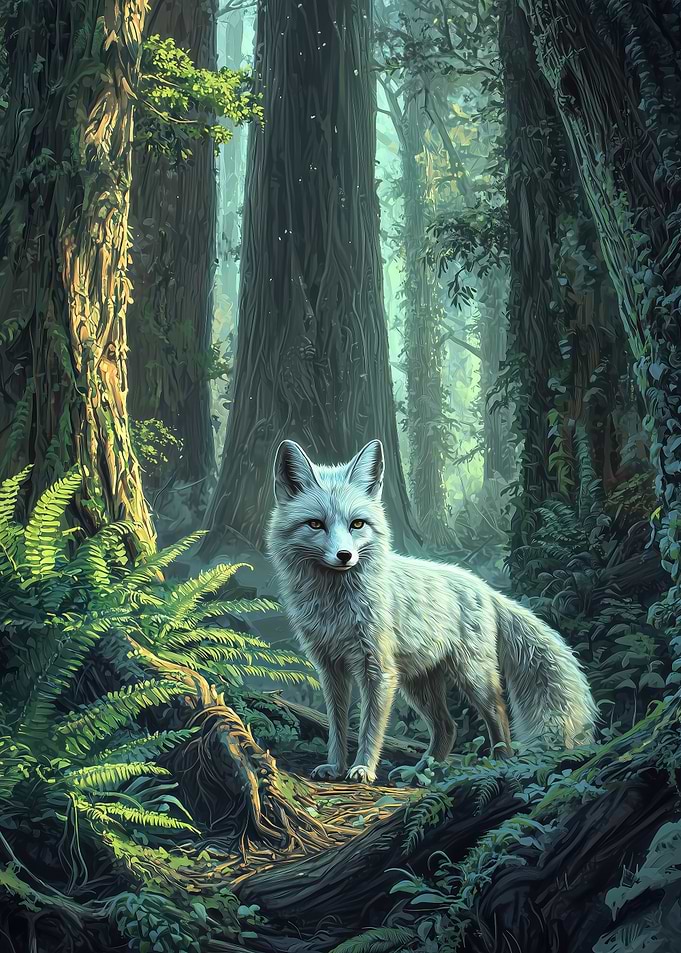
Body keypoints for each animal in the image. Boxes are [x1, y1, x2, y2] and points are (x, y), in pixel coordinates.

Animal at [267, 438, 597, 784]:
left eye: (357, 524)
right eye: (316, 524)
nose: (345, 555)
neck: (335, 606)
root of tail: (485, 589)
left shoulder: (378, 670)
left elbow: (371, 727)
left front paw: (364, 768)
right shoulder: (330, 668)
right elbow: (337, 724)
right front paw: (335, 765)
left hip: (471, 676)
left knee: (498, 712)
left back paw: (500, 762)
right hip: (418, 685)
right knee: (447, 728)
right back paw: (422, 771)